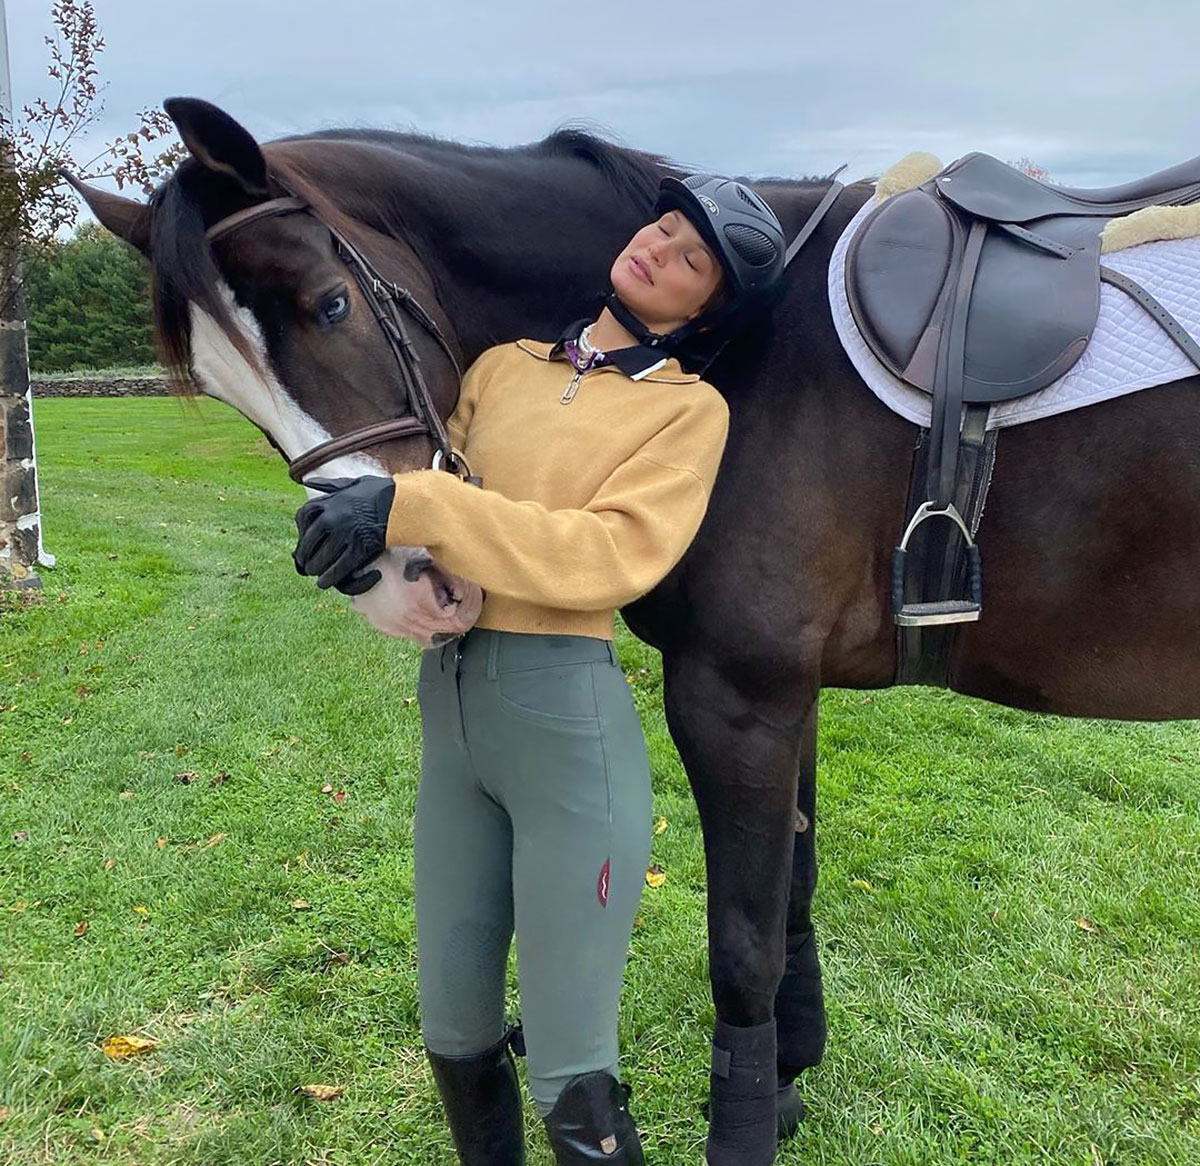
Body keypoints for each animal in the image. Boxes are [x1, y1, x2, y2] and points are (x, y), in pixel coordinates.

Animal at [72, 97, 1200, 1166]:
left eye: (331, 303)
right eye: (223, 388)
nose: (391, 581)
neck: (749, 351)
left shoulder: (738, 696)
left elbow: (741, 947)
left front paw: (745, 1124)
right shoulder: (788, 695)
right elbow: (792, 897)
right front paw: (785, 1085)